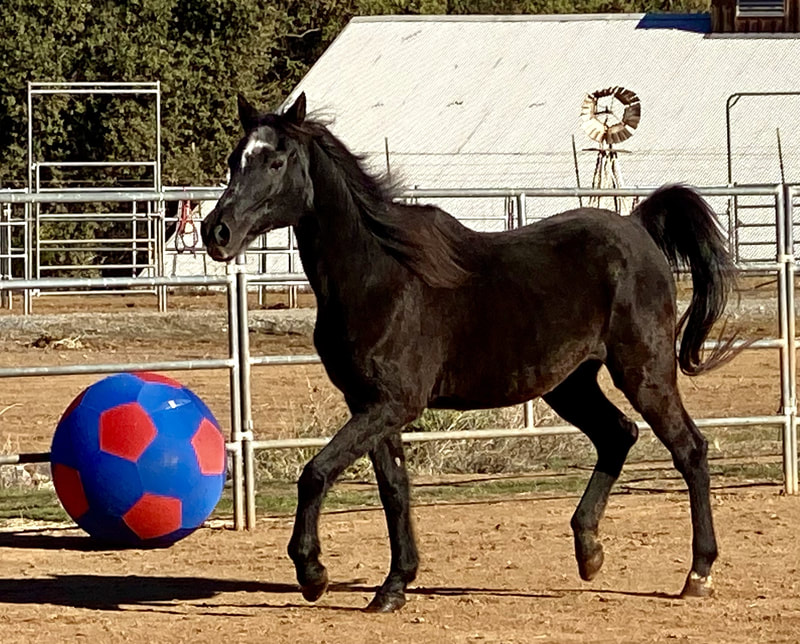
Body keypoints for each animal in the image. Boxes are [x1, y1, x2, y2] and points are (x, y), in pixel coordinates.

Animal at [201, 93, 740, 612]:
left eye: (276, 161)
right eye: (234, 159)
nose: (217, 232)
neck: (379, 274)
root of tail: (638, 226)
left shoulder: (393, 404)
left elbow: (316, 472)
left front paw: (312, 573)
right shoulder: (370, 405)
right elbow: (394, 489)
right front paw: (393, 587)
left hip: (644, 371)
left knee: (689, 448)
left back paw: (698, 574)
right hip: (571, 383)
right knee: (618, 435)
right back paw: (589, 551)